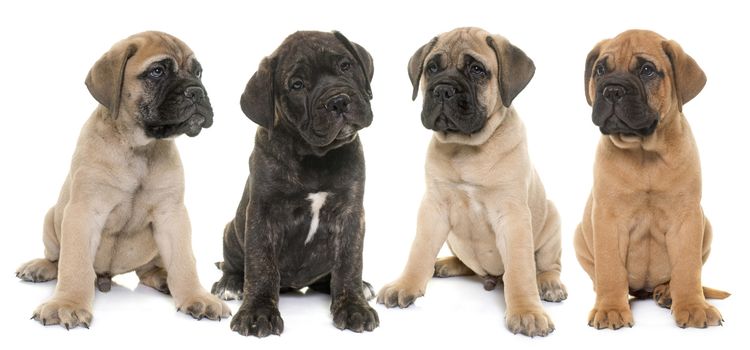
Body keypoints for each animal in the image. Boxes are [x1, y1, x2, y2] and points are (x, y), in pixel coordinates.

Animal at [14, 31, 231, 330]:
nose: (197, 91)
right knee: (57, 259)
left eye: (198, 72)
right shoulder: (84, 212)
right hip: (51, 218)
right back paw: (40, 267)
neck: (139, 147)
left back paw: (163, 278)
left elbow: (184, 261)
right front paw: (67, 304)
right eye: (157, 71)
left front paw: (195, 296)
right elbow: (75, 264)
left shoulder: (172, 215)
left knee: (148, 270)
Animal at [210, 31, 378, 338]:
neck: (315, 156)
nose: (338, 101)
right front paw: (258, 312)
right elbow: (261, 266)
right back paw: (230, 284)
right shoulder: (262, 213)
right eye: (297, 85)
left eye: (346, 66)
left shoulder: (351, 212)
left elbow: (349, 262)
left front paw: (353, 306)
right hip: (231, 230)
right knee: (234, 264)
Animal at [378, 28, 568, 338]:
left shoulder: (513, 216)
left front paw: (527, 311)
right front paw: (405, 284)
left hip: (552, 221)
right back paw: (444, 264)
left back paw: (550, 283)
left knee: (547, 265)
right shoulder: (433, 208)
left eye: (477, 70)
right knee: (466, 265)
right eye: (432, 68)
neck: (465, 148)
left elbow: (520, 270)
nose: (443, 89)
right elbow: (419, 250)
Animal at [576, 28, 728, 330]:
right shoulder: (607, 218)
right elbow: (610, 268)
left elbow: (687, 269)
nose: (612, 90)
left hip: (706, 226)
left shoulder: (688, 218)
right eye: (600, 70)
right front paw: (611, 309)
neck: (644, 153)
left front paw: (692, 306)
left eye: (646, 70)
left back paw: (667, 292)